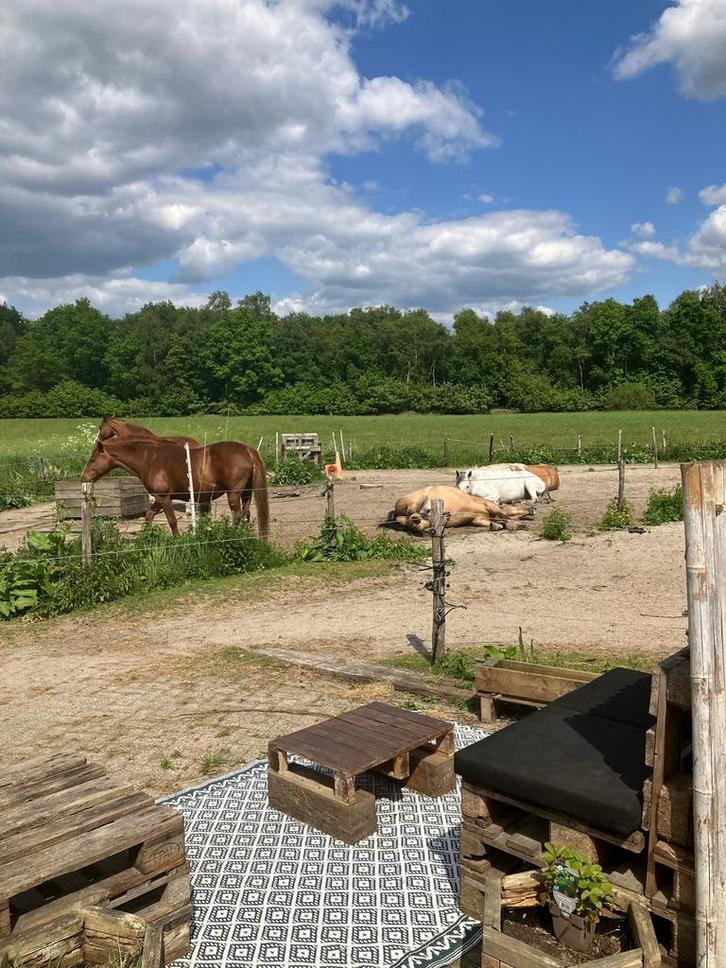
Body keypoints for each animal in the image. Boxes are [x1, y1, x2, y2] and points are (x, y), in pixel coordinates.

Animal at [81, 437, 270, 539]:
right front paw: (145, 538)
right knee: (245, 514)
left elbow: (172, 521)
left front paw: (177, 541)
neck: (150, 459)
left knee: (237, 515)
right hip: (246, 493)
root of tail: (248, 450)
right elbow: (148, 516)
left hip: (234, 494)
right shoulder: (159, 499)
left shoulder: (164, 498)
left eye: (92, 459)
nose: (83, 477)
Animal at [390, 485, 535, 533]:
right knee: (411, 513)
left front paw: (498, 525)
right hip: (416, 501)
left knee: (416, 524)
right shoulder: (489, 507)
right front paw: (514, 524)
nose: (533, 510)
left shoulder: (477, 519)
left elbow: (494, 522)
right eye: (516, 506)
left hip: (424, 522)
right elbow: (504, 514)